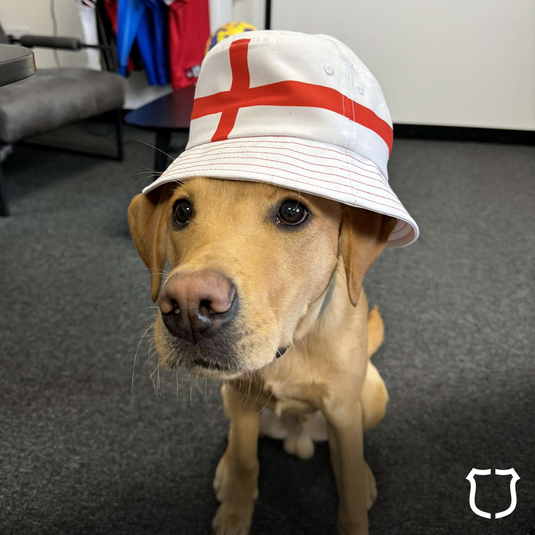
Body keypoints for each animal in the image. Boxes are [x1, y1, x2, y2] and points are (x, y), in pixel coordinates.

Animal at [130, 177, 398, 535]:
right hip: (228, 395)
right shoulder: (244, 402)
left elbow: (350, 488)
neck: (291, 347)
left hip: (372, 396)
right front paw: (235, 513)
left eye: (292, 211)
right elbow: (247, 462)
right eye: (182, 210)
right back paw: (226, 470)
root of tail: (299, 438)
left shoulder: (343, 413)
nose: (187, 308)